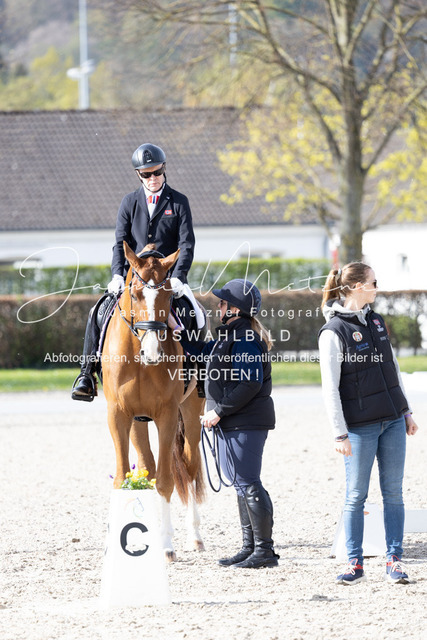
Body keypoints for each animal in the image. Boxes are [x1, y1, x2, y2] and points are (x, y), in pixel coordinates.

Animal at [102, 241, 205, 561]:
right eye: (135, 293)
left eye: (169, 294)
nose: (152, 352)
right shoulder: (119, 415)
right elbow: (123, 478)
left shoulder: (167, 415)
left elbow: (165, 481)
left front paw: (167, 546)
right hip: (138, 422)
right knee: (147, 466)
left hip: (192, 413)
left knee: (190, 467)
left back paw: (195, 536)